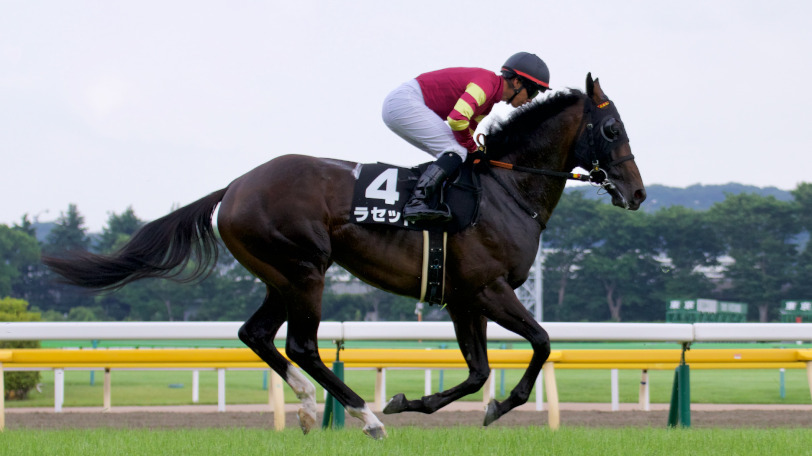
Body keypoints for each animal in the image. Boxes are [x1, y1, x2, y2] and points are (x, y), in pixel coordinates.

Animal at [43, 74, 646, 439]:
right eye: (611, 128)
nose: (637, 193)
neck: (506, 190)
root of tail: (234, 186)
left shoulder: (461, 298)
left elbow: (478, 372)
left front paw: (417, 402)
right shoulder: (488, 289)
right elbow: (541, 343)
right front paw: (494, 405)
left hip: (280, 276)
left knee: (256, 334)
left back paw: (311, 408)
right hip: (305, 269)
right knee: (302, 345)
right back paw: (364, 417)